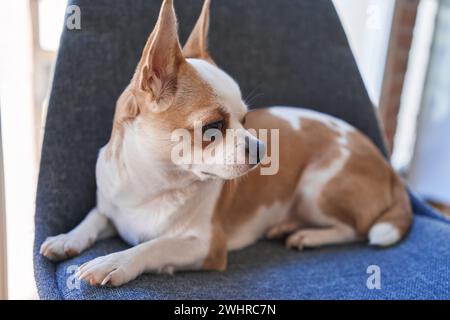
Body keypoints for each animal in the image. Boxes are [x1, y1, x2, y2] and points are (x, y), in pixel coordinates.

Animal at [39, 0, 412, 284]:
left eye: (246, 121)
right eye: (213, 127)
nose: (262, 148)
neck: (154, 184)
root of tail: (389, 168)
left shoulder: (206, 246)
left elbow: (153, 246)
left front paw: (115, 261)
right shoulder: (110, 206)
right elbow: (95, 216)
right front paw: (67, 237)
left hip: (317, 187)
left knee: (358, 229)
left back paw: (308, 234)